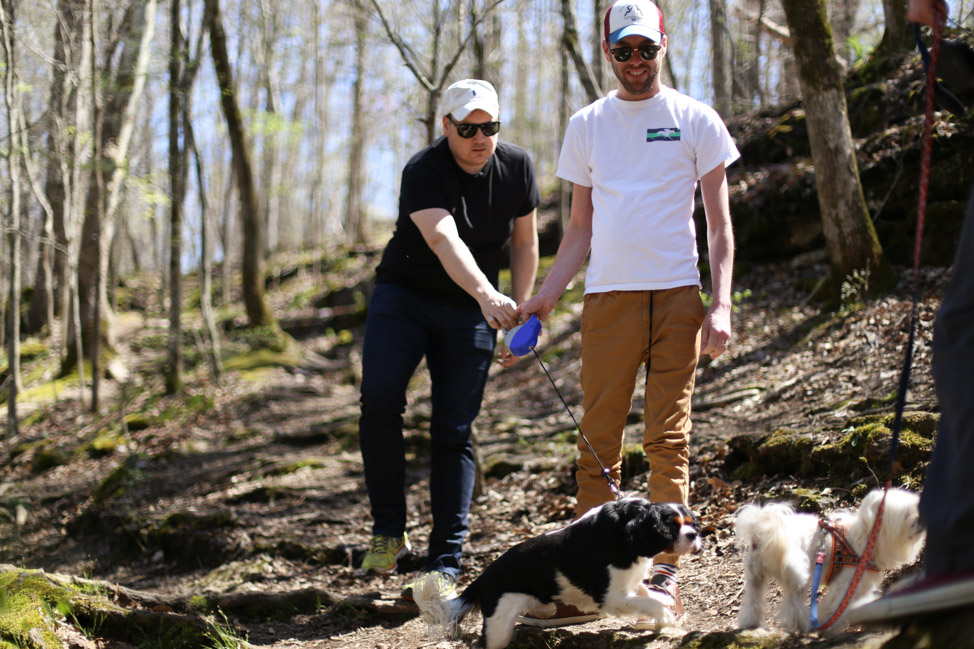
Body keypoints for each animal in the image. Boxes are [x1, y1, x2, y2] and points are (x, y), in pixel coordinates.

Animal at [416, 498, 704, 644]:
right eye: (672, 527)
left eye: (690, 523)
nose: (694, 536)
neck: (623, 531)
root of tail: (482, 577)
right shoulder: (612, 596)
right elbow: (647, 602)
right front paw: (664, 618)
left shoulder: (630, 581)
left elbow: (646, 592)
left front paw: (664, 603)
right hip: (499, 624)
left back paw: (546, 609)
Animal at [736, 486, 928, 632]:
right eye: (906, 514)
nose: (922, 519)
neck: (865, 538)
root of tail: (762, 533)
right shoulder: (844, 584)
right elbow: (836, 607)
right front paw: (833, 629)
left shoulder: (861, 584)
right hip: (798, 575)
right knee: (793, 605)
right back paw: (802, 625)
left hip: (755, 577)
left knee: (753, 601)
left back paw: (751, 623)